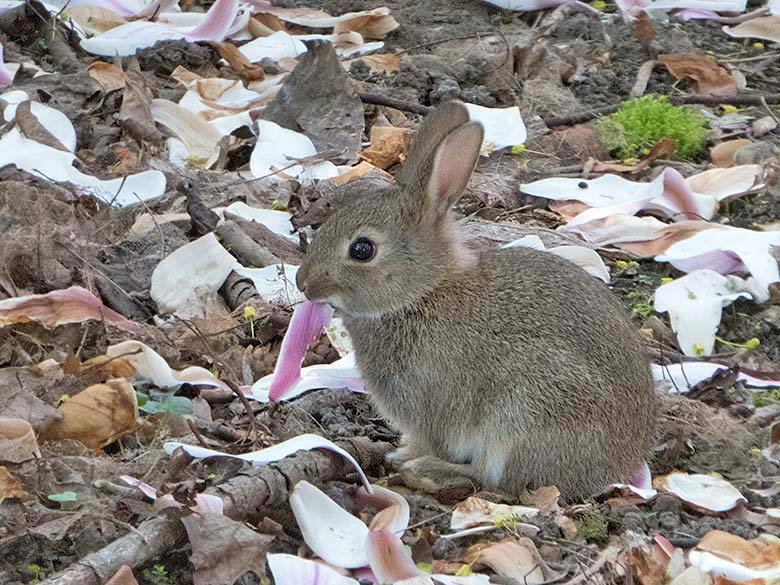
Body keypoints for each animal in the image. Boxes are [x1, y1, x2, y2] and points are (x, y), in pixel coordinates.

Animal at [296, 101, 656, 502]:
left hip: (521, 416)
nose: (303, 283)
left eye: (362, 249)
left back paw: (425, 472)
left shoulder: (431, 409)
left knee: (493, 477)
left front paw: (409, 457)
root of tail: (618, 465)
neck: (420, 294)